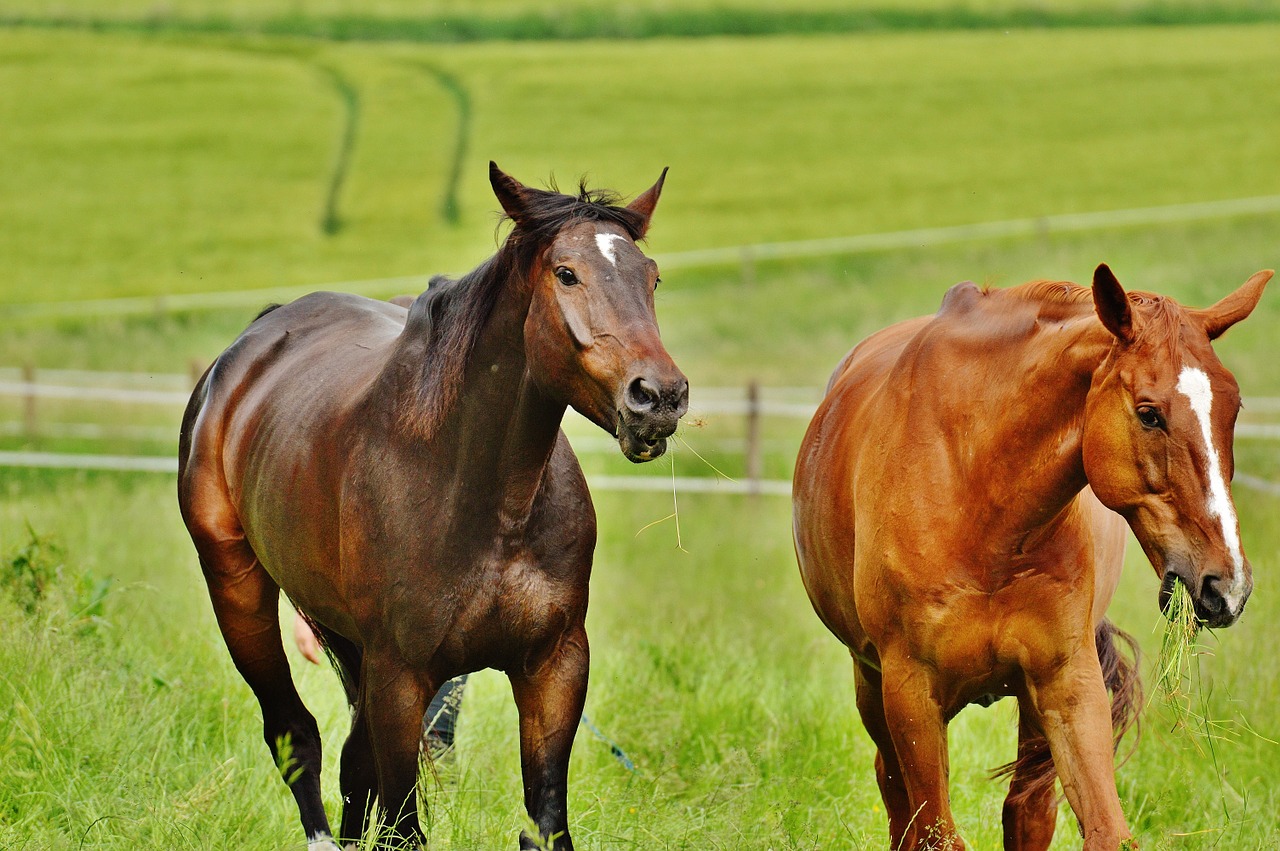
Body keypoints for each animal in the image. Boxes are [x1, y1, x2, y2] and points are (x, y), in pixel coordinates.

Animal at [180, 162, 691, 844]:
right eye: (566, 273)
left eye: (650, 275)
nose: (658, 397)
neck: (484, 500)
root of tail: (242, 355)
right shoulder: (401, 679)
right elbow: (403, 825)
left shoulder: (554, 666)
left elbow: (546, 821)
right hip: (239, 593)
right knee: (295, 736)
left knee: (351, 760)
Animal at [788, 266, 1269, 849]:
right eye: (1149, 414)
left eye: (1233, 408)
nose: (1228, 587)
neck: (981, 498)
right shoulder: (910, 694)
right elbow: (935, 831)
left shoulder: (1068, 681)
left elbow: (1105, 830)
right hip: (871, 684)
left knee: (1026, 808)